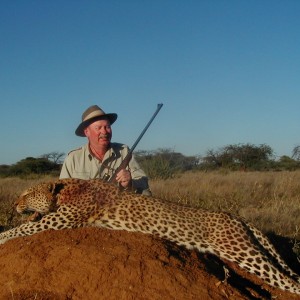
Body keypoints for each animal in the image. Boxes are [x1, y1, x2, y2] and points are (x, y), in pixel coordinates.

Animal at [0, 178, 300, 296]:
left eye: (27, 193)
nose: (14, 204)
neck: (67, 190)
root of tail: (235, 216)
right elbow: (23, 226)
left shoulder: (58, 221)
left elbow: (18, 230)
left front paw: (2, 235)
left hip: (240, 250)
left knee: (286, 280)